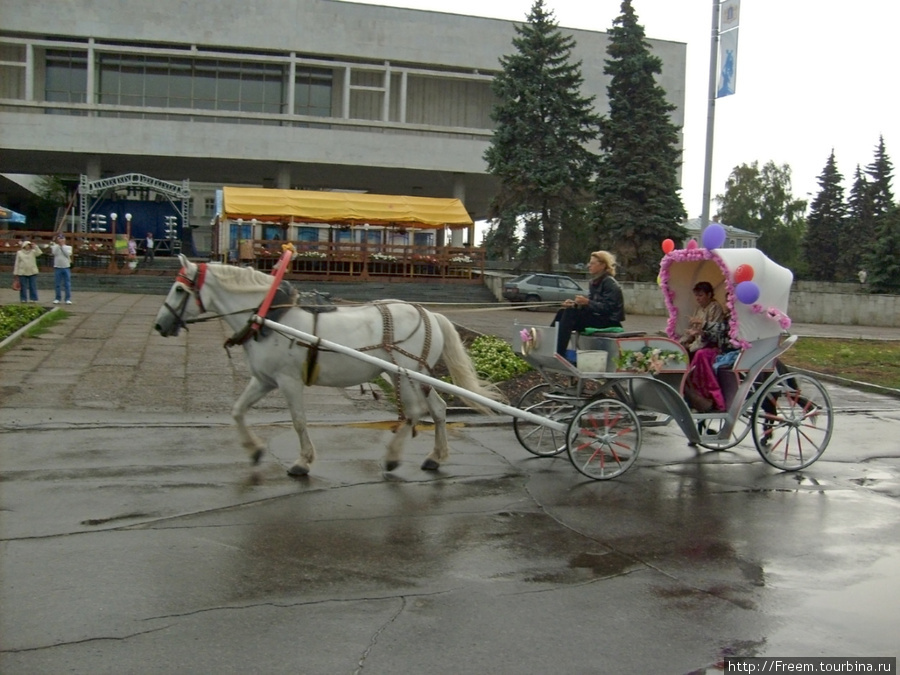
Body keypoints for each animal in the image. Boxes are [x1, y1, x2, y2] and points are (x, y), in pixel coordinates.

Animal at [156, 256, 506, 478]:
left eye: (179, 289)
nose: (160, 325)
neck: (270, 314)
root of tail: (430, 313)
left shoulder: (288, 381)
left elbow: (298, 421)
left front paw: (302, 462)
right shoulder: (263, 380)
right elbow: (238, 411)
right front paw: (253, 450)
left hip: (404, 374)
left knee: (416, 412)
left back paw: (393, 457)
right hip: (414, 374)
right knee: (438, 409)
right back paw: (436, 456)